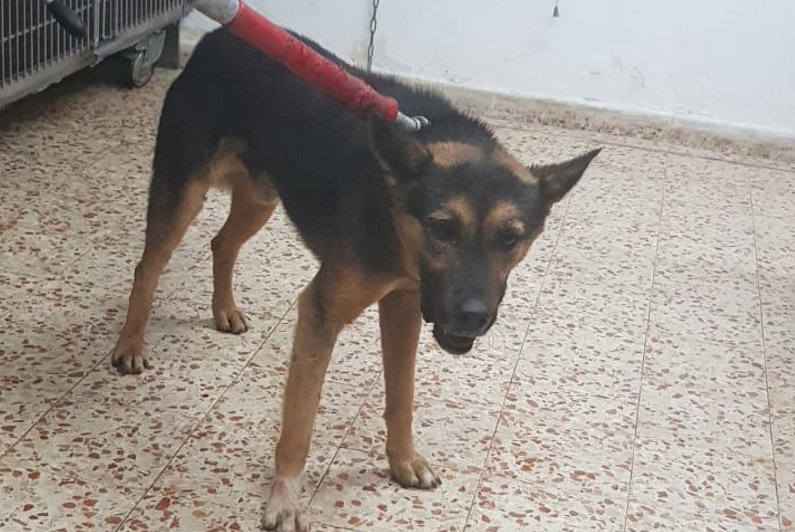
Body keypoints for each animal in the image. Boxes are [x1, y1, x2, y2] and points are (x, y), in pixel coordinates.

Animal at [109, 27, 600, 532]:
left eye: (510, 238)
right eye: (442, 227)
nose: (473, 317)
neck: (394, 212)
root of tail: (217, 36)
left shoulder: (404, 307)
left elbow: (401, 397)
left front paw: (402, 461)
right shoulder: (321, 313)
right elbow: (300, 423)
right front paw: (285, 498)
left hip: (261, 198)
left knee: (222, 244)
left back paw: (223, 308)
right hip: (183, 193)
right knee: (148, 268)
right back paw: (130, 344)